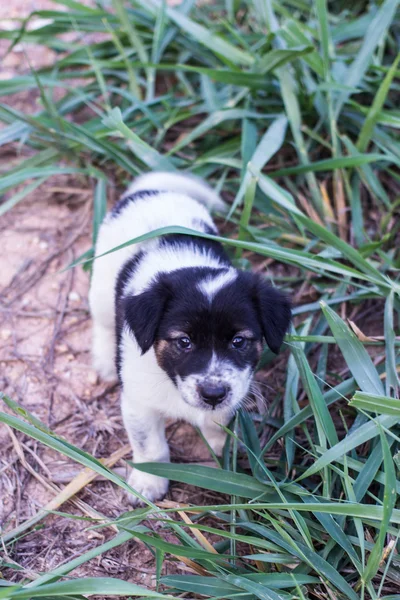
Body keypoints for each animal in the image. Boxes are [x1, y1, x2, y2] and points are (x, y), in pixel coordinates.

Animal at [89, 171, 290, 504]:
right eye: (184, 342)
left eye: (239, 341)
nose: (212, 394)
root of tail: (151, 191)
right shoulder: (138, 402)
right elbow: (150, 446)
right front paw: (149, 482)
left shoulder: (233, 392)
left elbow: (219, 426)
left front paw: (222, 454)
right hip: (102, 290)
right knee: (102, 323)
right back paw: (104, 361)